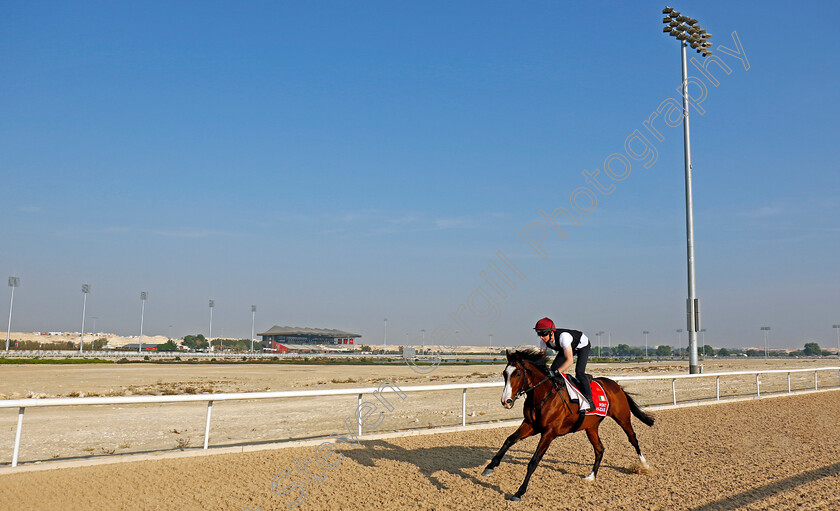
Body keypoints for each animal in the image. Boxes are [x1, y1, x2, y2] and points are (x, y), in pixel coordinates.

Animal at [480, 350, 656, 502]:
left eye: (517, 373)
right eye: (504, 373)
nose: (506, 401)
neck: (544, 395)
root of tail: (616, 385)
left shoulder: (549, 432)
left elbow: (534, 461)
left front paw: (519, 492)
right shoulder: (530, 426)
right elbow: (509, 440)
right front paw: (490, 466)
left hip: (623, 418)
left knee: (633, 438)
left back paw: (645, 465)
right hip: (591, 427)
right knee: (599, 449)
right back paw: (591, 476)